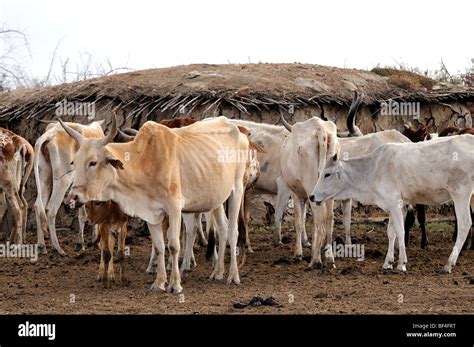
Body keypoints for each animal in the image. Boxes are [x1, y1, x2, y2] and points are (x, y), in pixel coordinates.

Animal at [34, 120, 105, 256]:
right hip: (63, 180)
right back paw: (58, 249)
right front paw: (93, 243)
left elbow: (82, 214)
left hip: (45, 176)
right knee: (50, 209)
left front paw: (81, 243)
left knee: (38, 206)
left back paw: (41, 246)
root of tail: (50, 134)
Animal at [61, 115, 250, 294]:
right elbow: (159, 247)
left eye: (93, 162)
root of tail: (237, 130)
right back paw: (217, 273)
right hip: (216, 199)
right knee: (223, 229)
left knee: (233, 231)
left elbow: (173, 245)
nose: (72, 197)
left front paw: (175, 285)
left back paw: (233, 276)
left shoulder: (174, 207)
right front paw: (159, 283)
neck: (146, 162)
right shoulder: (151, 213)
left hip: (237, 189)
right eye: (74, 162)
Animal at [312, 136, 474, 274]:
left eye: (327, 174)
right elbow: (391, 232)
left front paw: (401, 263)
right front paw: (387, 263)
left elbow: (400, 231)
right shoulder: (395, 206)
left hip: (461, 194)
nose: (312, 196)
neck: (374, 169)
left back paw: (448, 264)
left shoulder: (395, 203)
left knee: (465, 224)